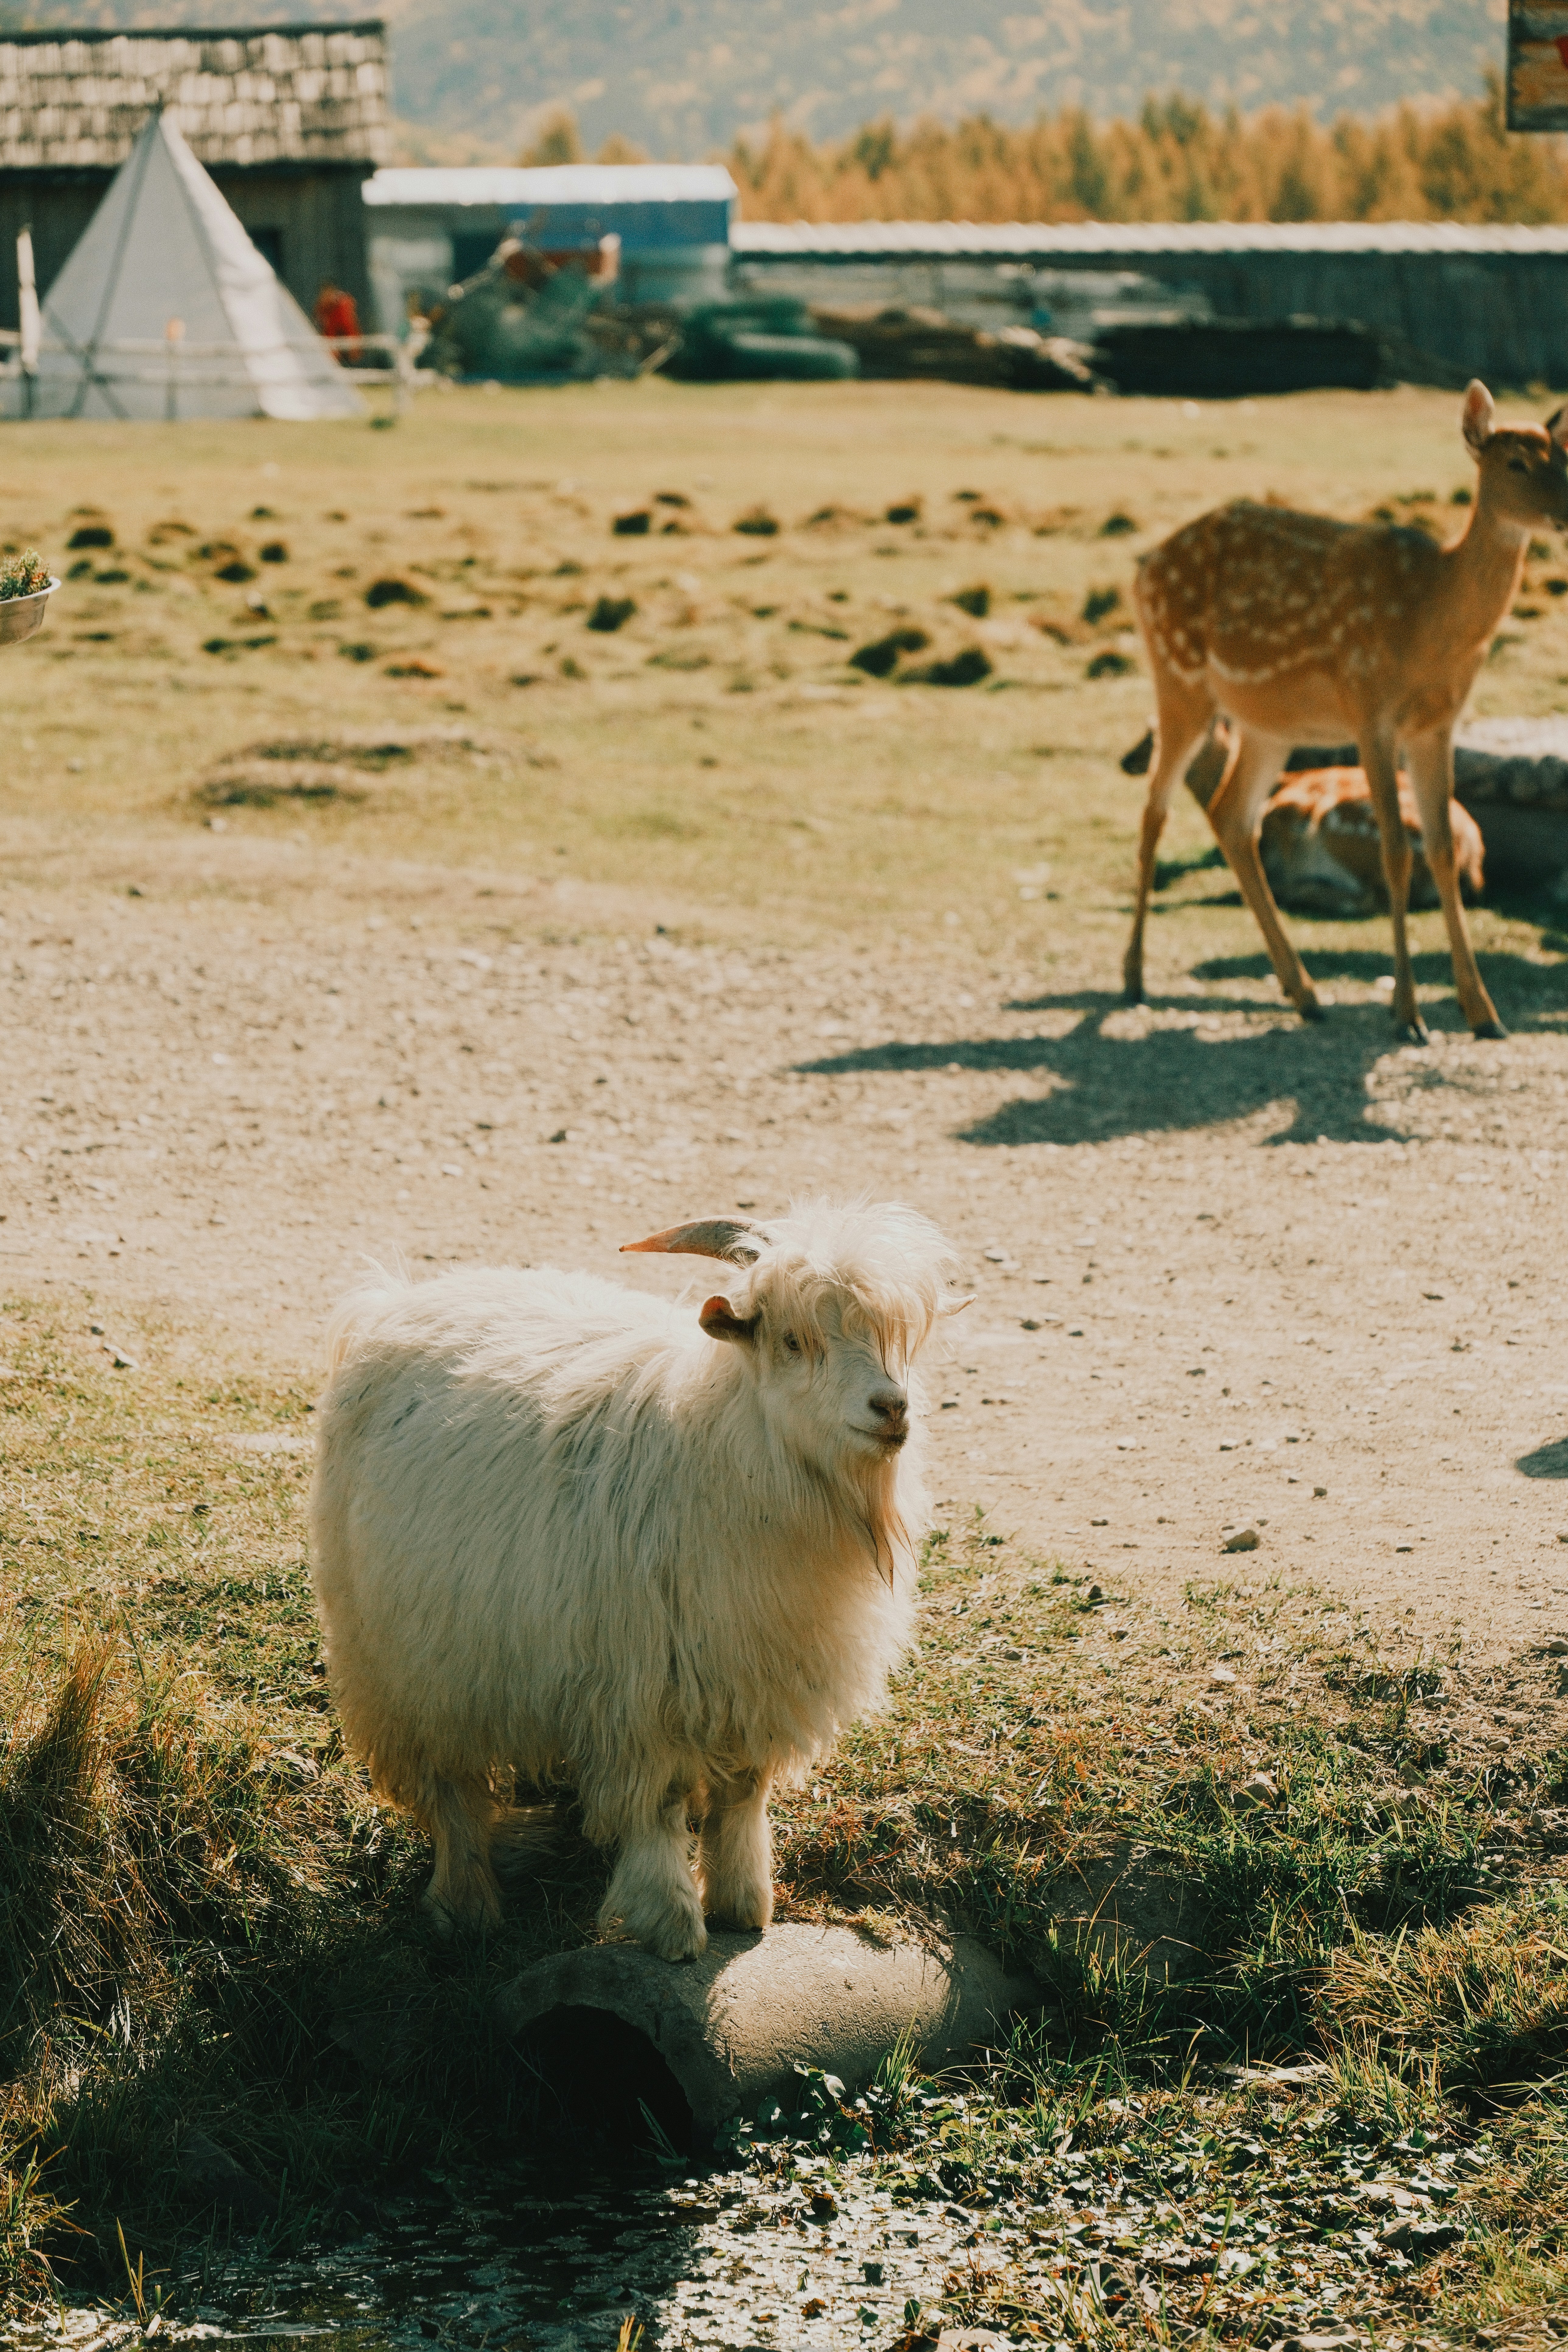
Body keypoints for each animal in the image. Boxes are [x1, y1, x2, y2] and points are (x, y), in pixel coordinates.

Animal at [308, 1199, 961, 1961]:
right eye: (793, 1341)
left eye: (895, 1338)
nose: (891, 1408)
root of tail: (391, 1303)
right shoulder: (640, 1694)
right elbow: (659, 1806)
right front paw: (671, 1921)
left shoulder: (756, 1684)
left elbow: (743, 1795)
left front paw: (744, 1903)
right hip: (402, 1660)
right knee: (451, 1790)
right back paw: (464, 1905)